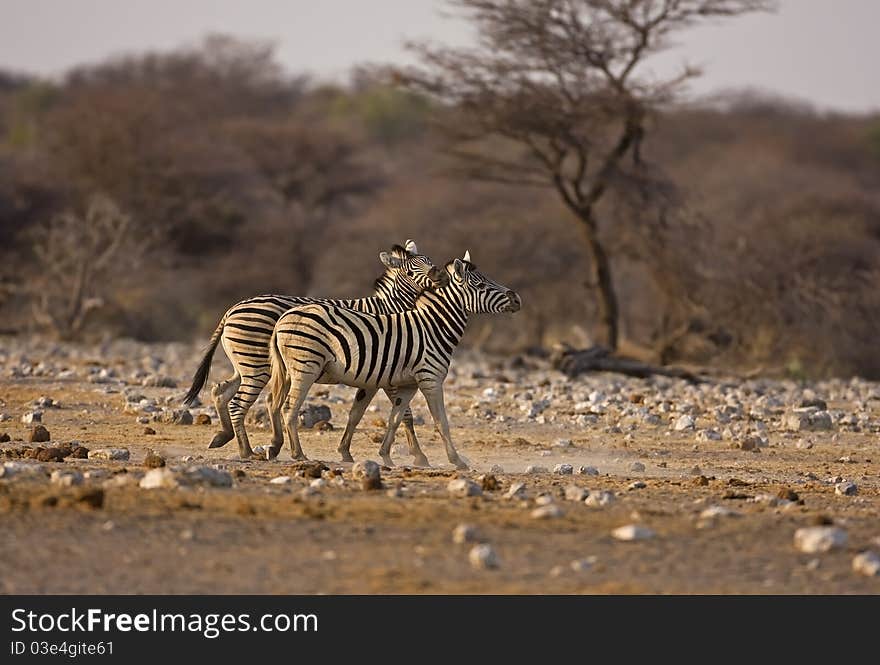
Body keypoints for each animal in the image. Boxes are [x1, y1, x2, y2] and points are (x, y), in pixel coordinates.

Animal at [186, 240, 446, 462]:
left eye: (429, 260)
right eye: (411, 272)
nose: (440, 274)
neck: (392, 311)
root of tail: (232, 309)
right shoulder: (386, 370)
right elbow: (406, 414)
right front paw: (419, 456)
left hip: (248, 364)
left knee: (221, 391)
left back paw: (226, 437)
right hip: (257, 364)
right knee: (239, 402)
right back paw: (247, 451)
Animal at [264, 252, 520, 470]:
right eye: (481, 285)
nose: (516, 298)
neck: (433, 328)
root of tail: (283, 318)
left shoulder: (408, 384)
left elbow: (395, 418)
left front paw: (386, 456)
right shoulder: (430, 379)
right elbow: (441, 421)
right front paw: (456, 460)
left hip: (288, 370)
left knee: (275, 402)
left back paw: (278, 449)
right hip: (305, 367)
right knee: (289, 407)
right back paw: (298, 454)